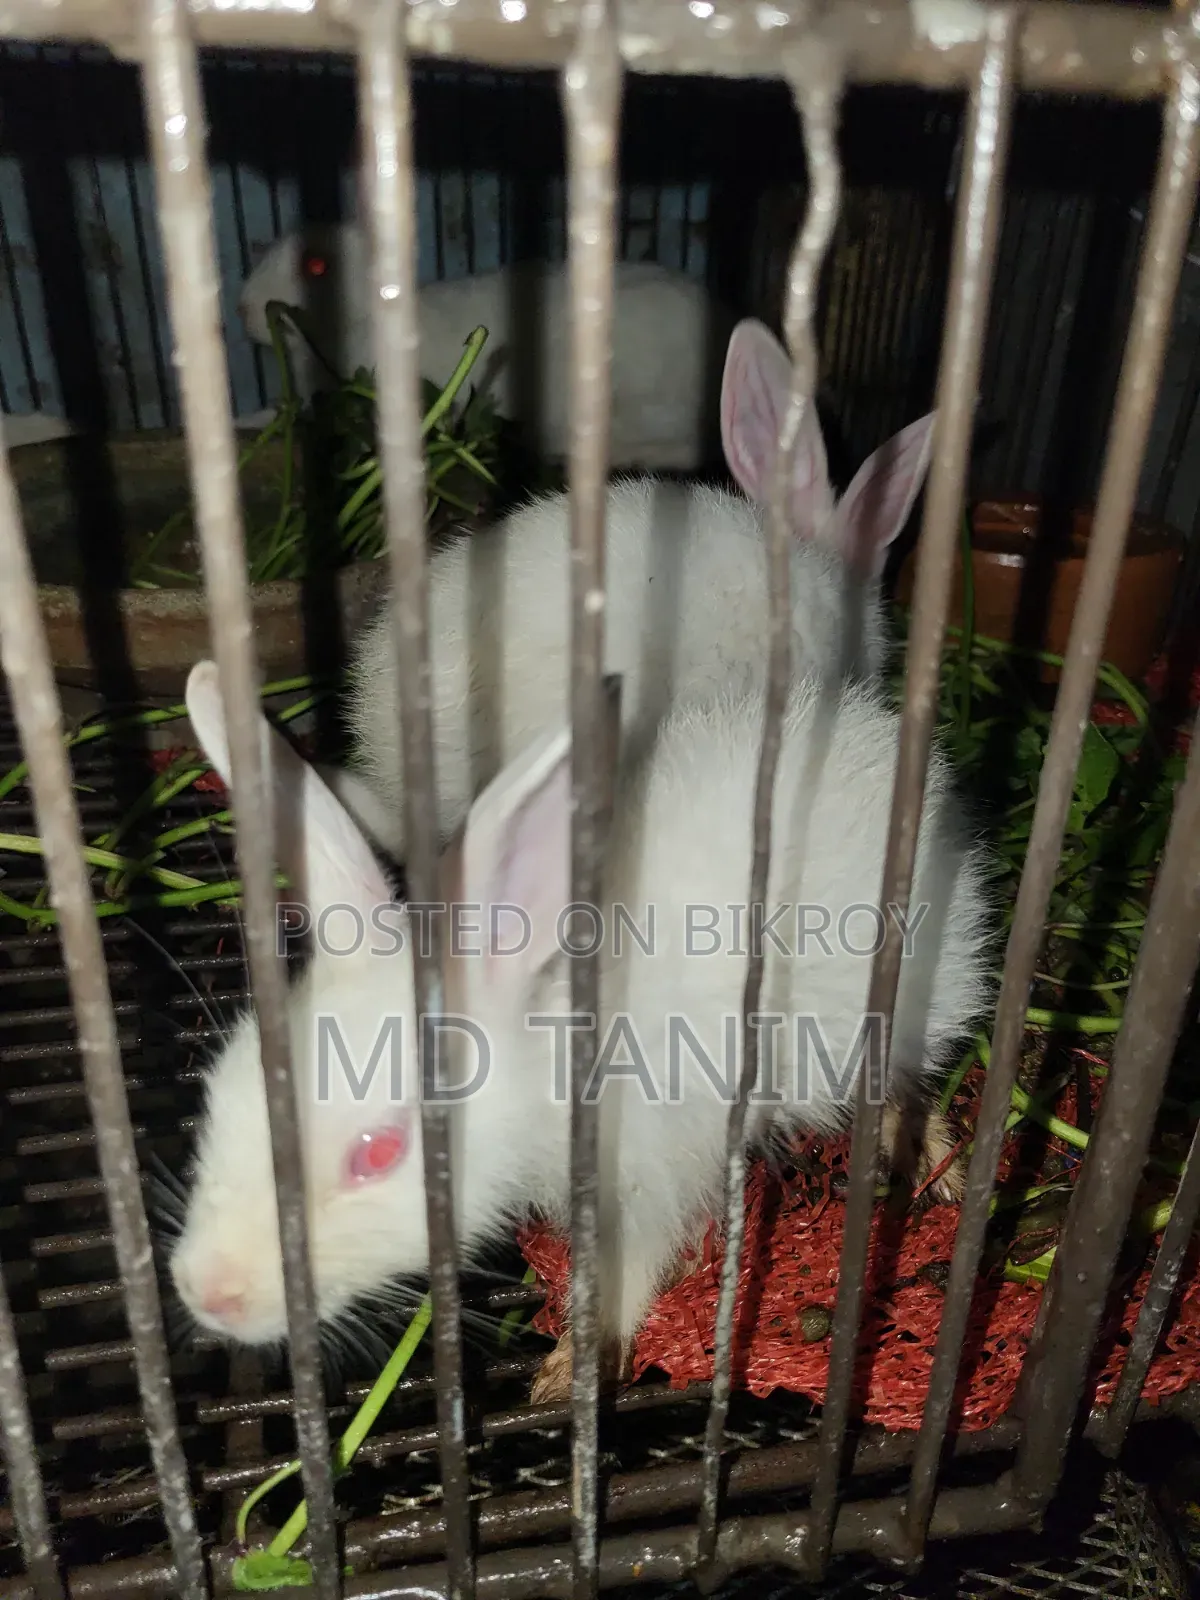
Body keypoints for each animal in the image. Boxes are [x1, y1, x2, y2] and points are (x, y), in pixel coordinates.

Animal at [167, 655, 993, 1403]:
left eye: (377, 1153)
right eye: (218, 1098)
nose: (205, 1291)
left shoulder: (653, 1176)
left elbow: (629, 1272)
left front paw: (569, 1372)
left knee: (904, 1083)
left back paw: (934, 1163)